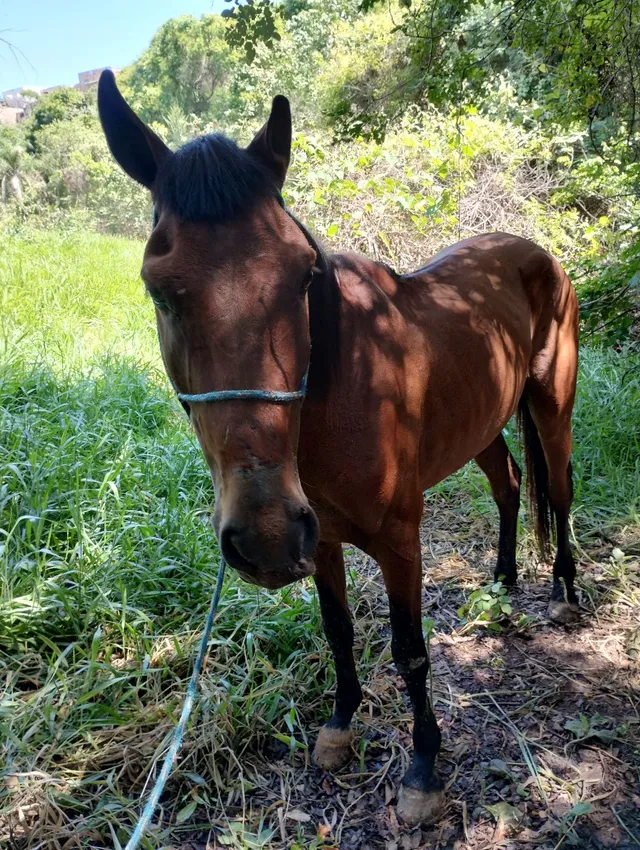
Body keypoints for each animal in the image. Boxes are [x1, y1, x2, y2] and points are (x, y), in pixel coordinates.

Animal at [97, 70, 580, 826]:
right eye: (158, 287)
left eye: (301, 275)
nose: (263, 533)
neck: (332, 396)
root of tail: (537, 253)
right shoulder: (319, 539)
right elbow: (337, 629)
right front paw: (340, 725)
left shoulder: (400, 539)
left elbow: (410, 652)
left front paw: (423, 769)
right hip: (481, 425)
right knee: (508, 484)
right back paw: (501, 586)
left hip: (552, 407)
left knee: (557, 489)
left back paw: (563, 593)